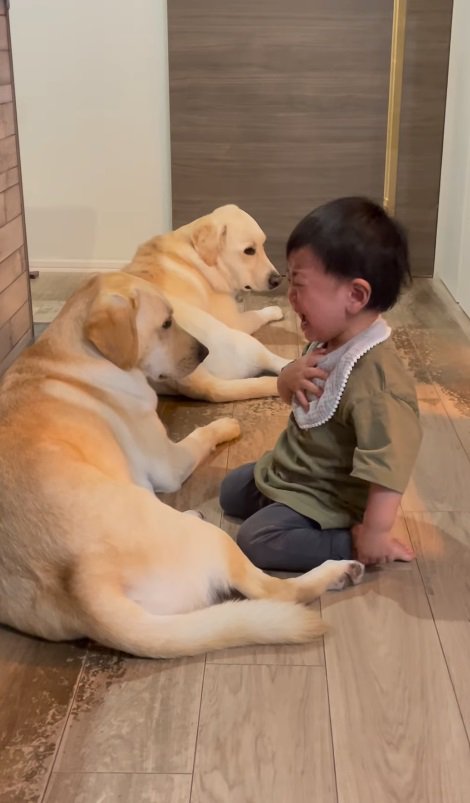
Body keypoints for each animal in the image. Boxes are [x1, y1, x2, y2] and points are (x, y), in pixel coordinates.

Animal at [0, 272, 364, 660]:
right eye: (165, 323)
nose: (204, 352)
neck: (76, 356)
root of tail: (86, 588)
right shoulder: (170, 464)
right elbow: (201, 434)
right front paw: (225, 425)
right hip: (217, 541)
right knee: (277, 591)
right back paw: (338, 572)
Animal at [126, 206, 294, 402]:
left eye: (263, 245)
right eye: (249, 251)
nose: (277, 280)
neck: (199, 258)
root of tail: (194, 378)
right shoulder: (236, 321)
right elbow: (256, 313)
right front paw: (273, 310)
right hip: (244, 342)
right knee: (277, 363)